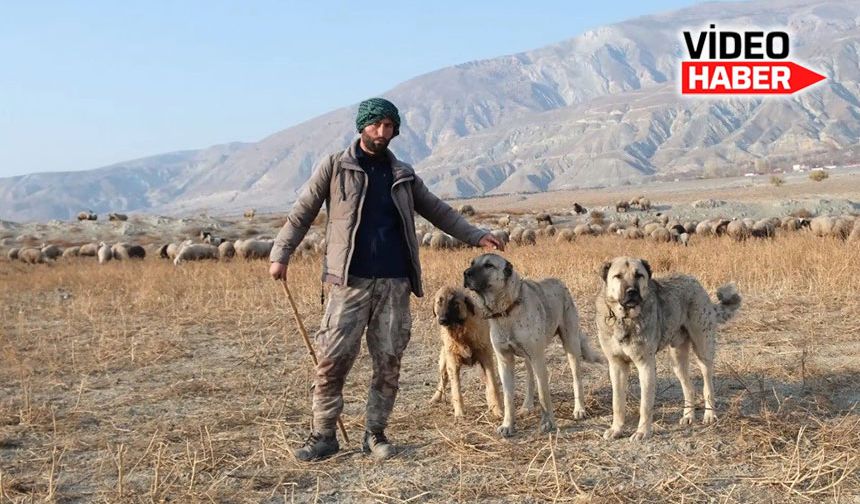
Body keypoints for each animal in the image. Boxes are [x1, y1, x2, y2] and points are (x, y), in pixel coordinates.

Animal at [430, 286, 504, 420]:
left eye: (455, 304)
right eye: (439, 302)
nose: (442, 320)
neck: (461, 332)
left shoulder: (486, 359)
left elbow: (493, 386)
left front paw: (497, 410)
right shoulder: (453, 364)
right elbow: (456, 391)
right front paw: (459, 413)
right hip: (444, 362)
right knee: (443, 379)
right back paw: (435, 398)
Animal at [464, 254, 596, 436]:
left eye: (489, 265)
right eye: (472, 263)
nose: (465, 273)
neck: (506, 311)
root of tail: (558, 282)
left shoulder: (538, 358)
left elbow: (543, 394)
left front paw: (548, 423)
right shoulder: (504, 361)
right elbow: (508, 397)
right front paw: (508, 424)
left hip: (570, 345)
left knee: (577, 378)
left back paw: (579, 409)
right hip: (528, 357)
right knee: (529, 379)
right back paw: (527, 406)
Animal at [596, 258, 744, 440]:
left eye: (639, 275)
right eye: (618, 276)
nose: (632, 292)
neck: (625, 319)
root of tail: (694, 282)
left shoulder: (646, 365)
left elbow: (645, 405)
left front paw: (642, 432)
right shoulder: (616, 366)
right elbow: (617, 403)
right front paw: (616, 429)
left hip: (703, 352)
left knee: (707, 386)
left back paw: (709, 415)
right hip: (677, 362)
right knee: (689, 388)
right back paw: (688, 416)